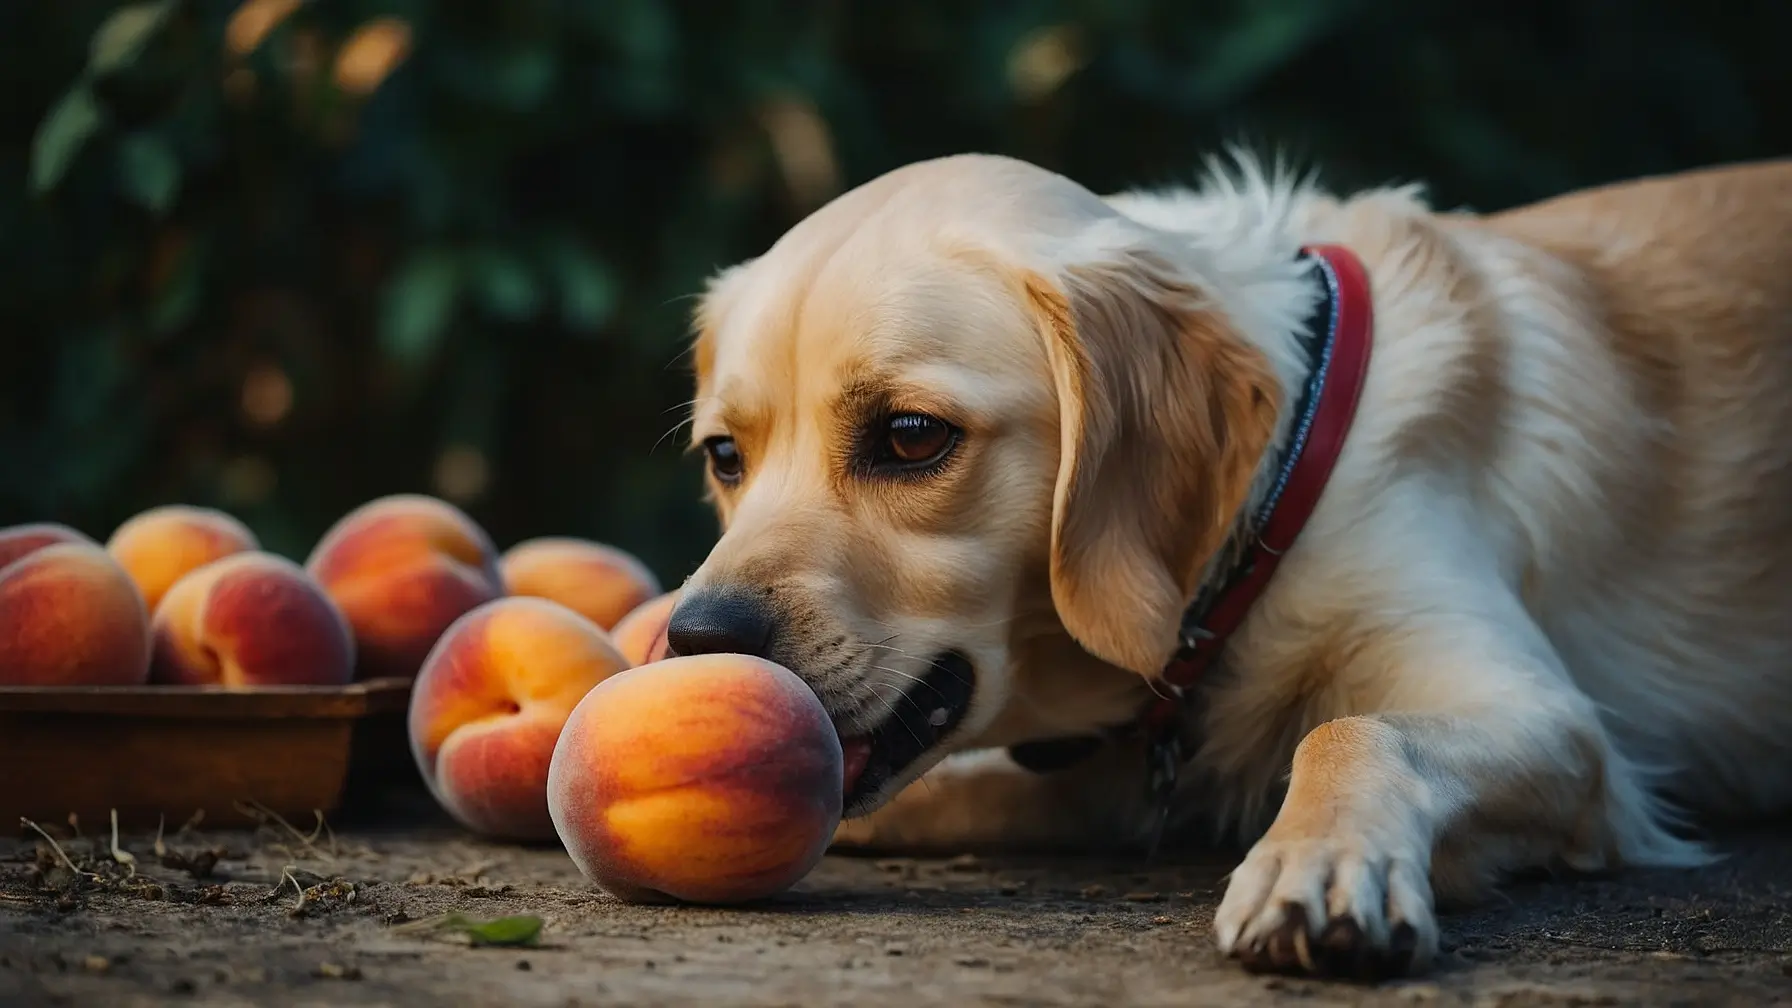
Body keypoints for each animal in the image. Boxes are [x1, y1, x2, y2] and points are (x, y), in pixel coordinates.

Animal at [666, 153, 1792, 975]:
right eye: (725, 456)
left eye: (909, 437)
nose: (693, 638)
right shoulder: (1098, 783)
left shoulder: (1553, 723)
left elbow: (1350, 728)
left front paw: (1320, 863)